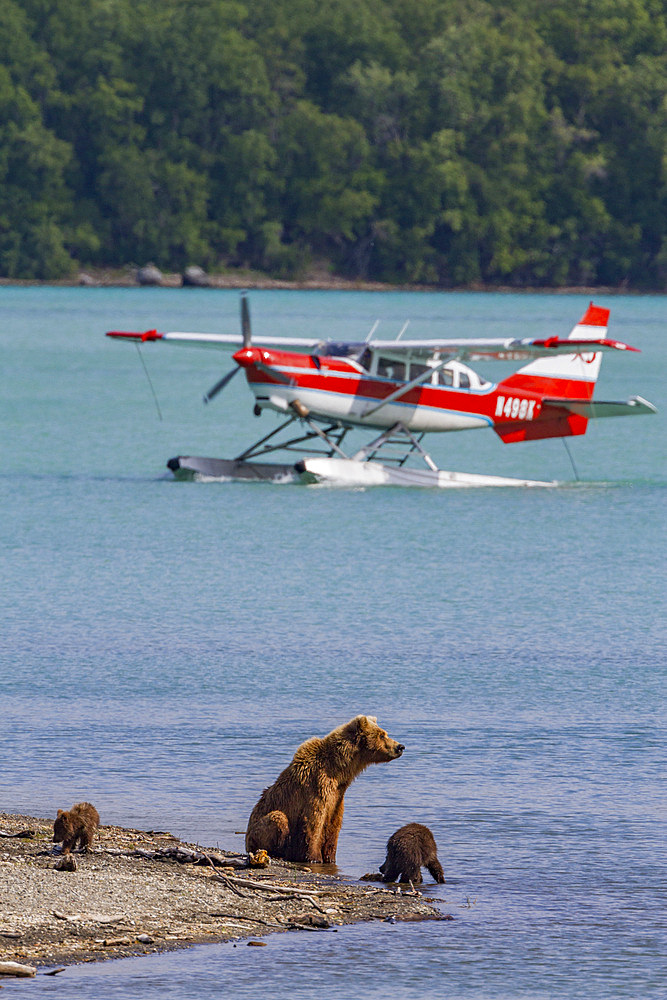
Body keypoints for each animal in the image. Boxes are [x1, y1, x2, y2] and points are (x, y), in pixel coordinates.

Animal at [244, 716, 404, 864]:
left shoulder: (337, 796)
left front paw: (330, 858)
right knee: (277, 818)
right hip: (257, 830)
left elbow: (333, 826)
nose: (400, 747)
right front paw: (314, 858)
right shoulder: (317, 788)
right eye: (382, 735)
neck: (338, 770)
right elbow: (314, 824)